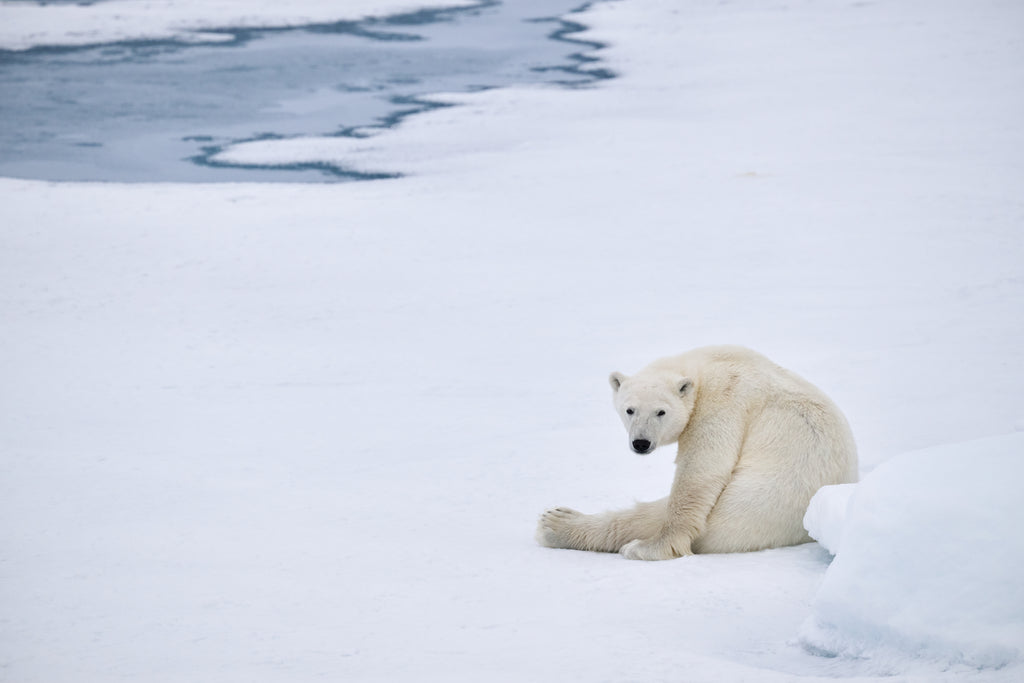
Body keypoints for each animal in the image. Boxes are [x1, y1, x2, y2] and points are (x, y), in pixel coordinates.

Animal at [536, 345, 858, 560]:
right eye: (629, 410)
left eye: (661, 412)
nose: (641, 443)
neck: (706, 364)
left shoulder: (723, 398)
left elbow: (701, 471)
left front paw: (654, 546)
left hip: (750, 504)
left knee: (657, 514)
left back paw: (557, 523)